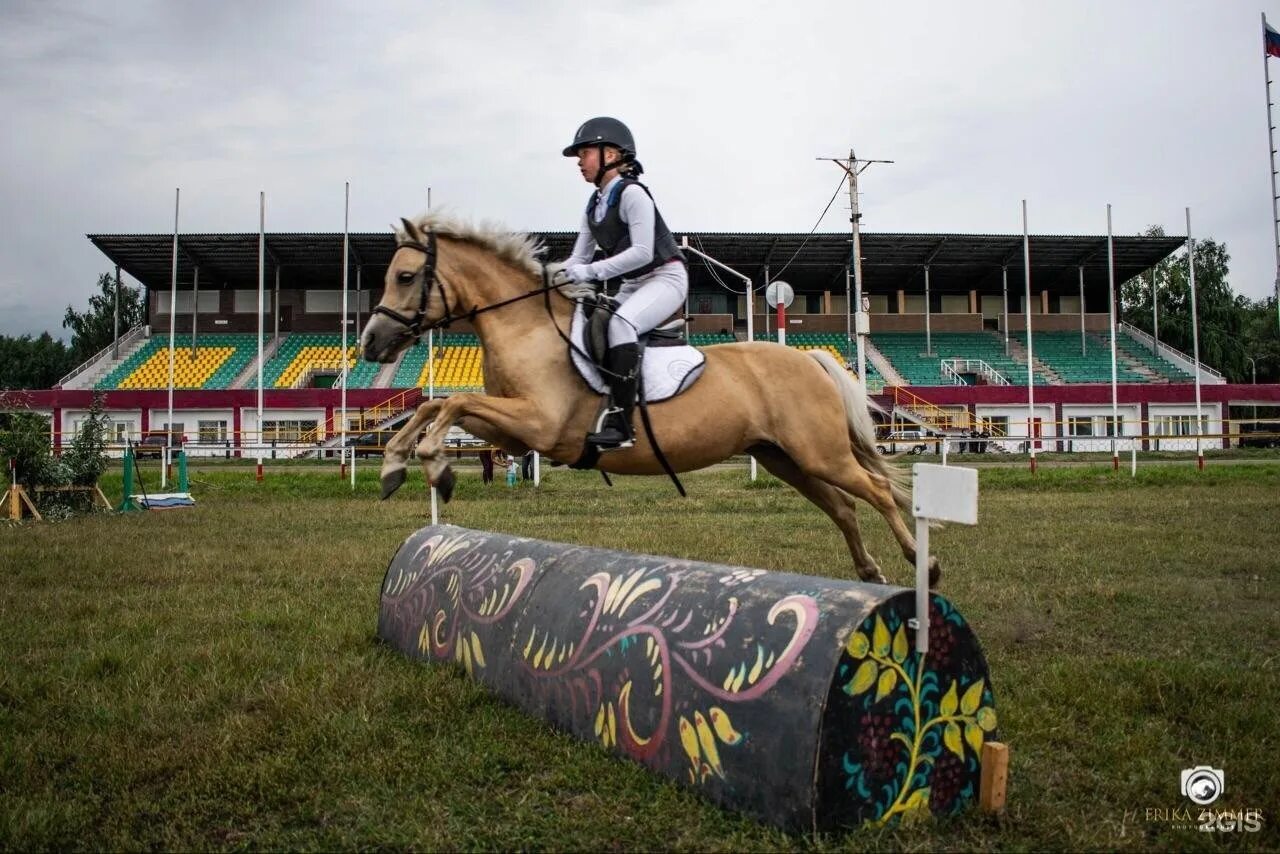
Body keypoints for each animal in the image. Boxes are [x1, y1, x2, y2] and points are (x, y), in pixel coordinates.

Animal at [360, 215, 942, 588]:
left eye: (405, 276)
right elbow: (437, 407)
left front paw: (434, 467)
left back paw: (923, 564)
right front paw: (396, 465)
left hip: (820, 453)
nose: (369, 343)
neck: (527, 327)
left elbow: (453, 401)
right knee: (843, 506)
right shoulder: (514, 432)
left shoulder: (542, 426)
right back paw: (870, 572)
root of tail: (811, 358)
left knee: (875, 491)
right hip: (785, 458)